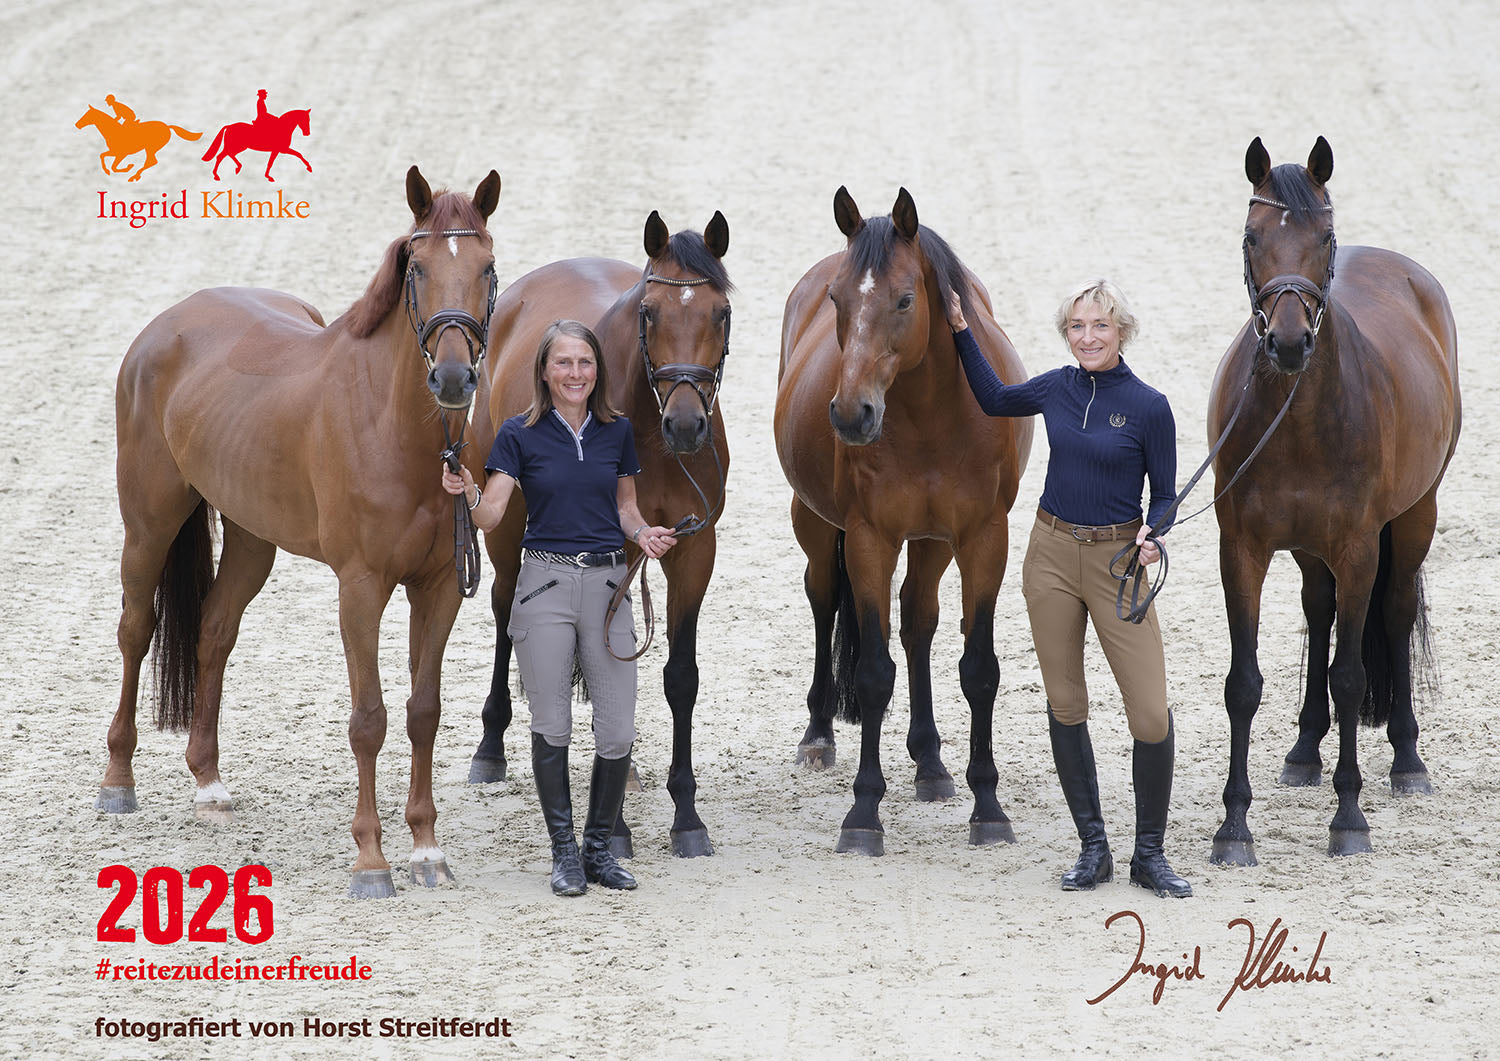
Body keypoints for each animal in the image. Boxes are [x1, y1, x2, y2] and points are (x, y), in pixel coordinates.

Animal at [101, 165, 503, 898]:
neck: (396, 429)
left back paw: (209, 783)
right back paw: (117, 781)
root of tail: (167, 325)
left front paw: (427, 849)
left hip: (251, 538)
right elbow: (369, 720)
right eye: (419, 268)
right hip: (148, 525)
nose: (455, 377)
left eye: (486, 267)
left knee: (213, 631)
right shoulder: (361, 588)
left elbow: (422, 712)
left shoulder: (436, 588)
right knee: (136, 630)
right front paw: (371, 860)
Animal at [774, 187, 1032, 855]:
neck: (930, 415)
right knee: (823, 600)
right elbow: (871, 673)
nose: (851, 413)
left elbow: (979, 670)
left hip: (934, 541)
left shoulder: (982, 538)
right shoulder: (871, 539)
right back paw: (819, 735)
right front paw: (863, 813)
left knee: (918, 620)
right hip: (817, 526)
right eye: (838, 300)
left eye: (905, 299)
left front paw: (988, 806)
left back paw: (931, 762)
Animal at [1208, 137, 1460, 864]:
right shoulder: (1243, 549)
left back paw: (1407, 760)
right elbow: (1244, 684)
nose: (1289, 342)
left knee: (1396, 613)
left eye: (1324, 239)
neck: (1296, 415)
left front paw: (1349, 819)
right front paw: (1234, 826)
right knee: (1318, 610)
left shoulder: (1356, 549)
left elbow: (1349, 675)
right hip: (1306, 547)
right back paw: (1303, 749)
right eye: (1251, 237)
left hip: (1414, 518)